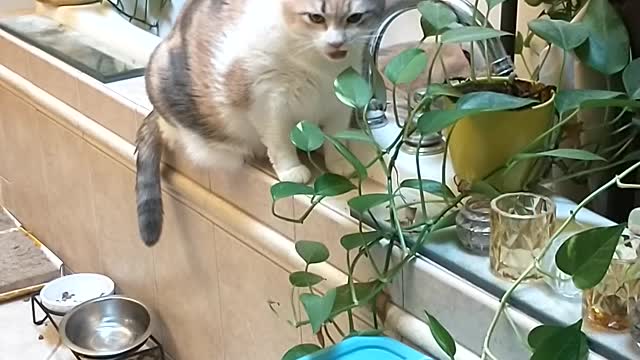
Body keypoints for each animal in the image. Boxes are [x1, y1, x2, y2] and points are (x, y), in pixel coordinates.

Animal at [135, 0, 390, 246]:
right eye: (316, 17)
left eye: (354, 18)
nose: (337, 43)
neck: (319, 66)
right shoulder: (269, 101)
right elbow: (279, 142)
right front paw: (291, 170)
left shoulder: (340, 98)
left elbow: (337, 138)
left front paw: (340, 162)